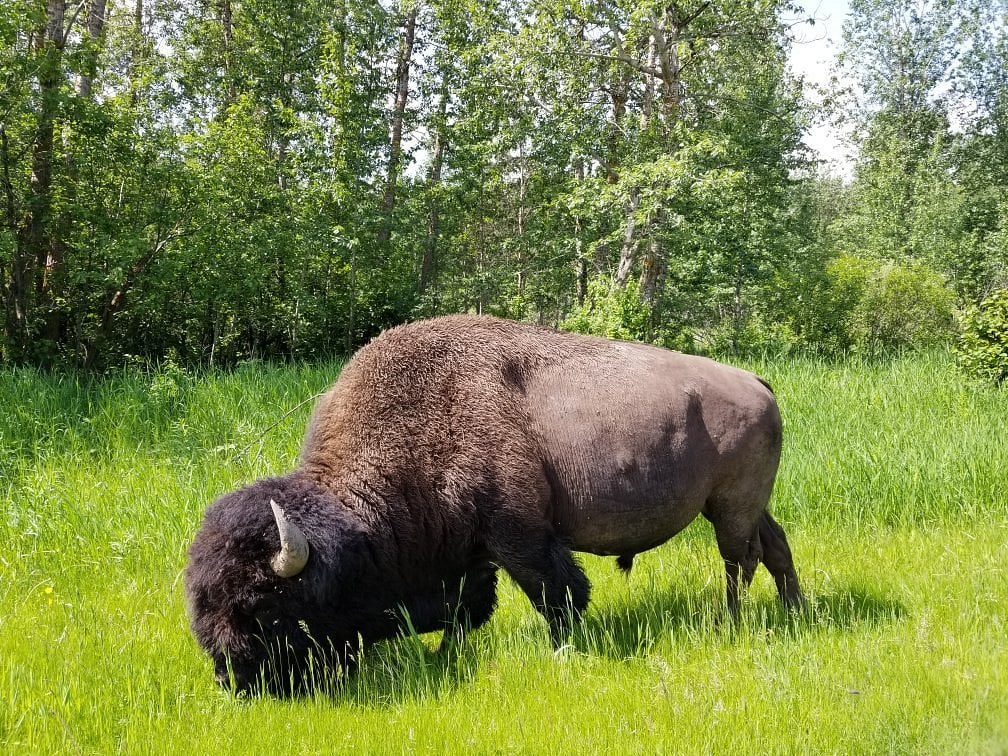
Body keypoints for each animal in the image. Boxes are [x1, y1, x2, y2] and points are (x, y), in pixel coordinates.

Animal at [185, 314, 802, 697]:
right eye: (202, 599)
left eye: (263, 607)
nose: (234, 680)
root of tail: (755, 380)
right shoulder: (471, 551)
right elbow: (467, 607)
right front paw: (445, 656)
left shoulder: (519, 537)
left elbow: (558, 594)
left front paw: (563, 651)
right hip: (742, 504)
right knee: (773, 547)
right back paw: (793, 611)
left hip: (730, 506)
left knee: (738, 560)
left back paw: (728, 624)